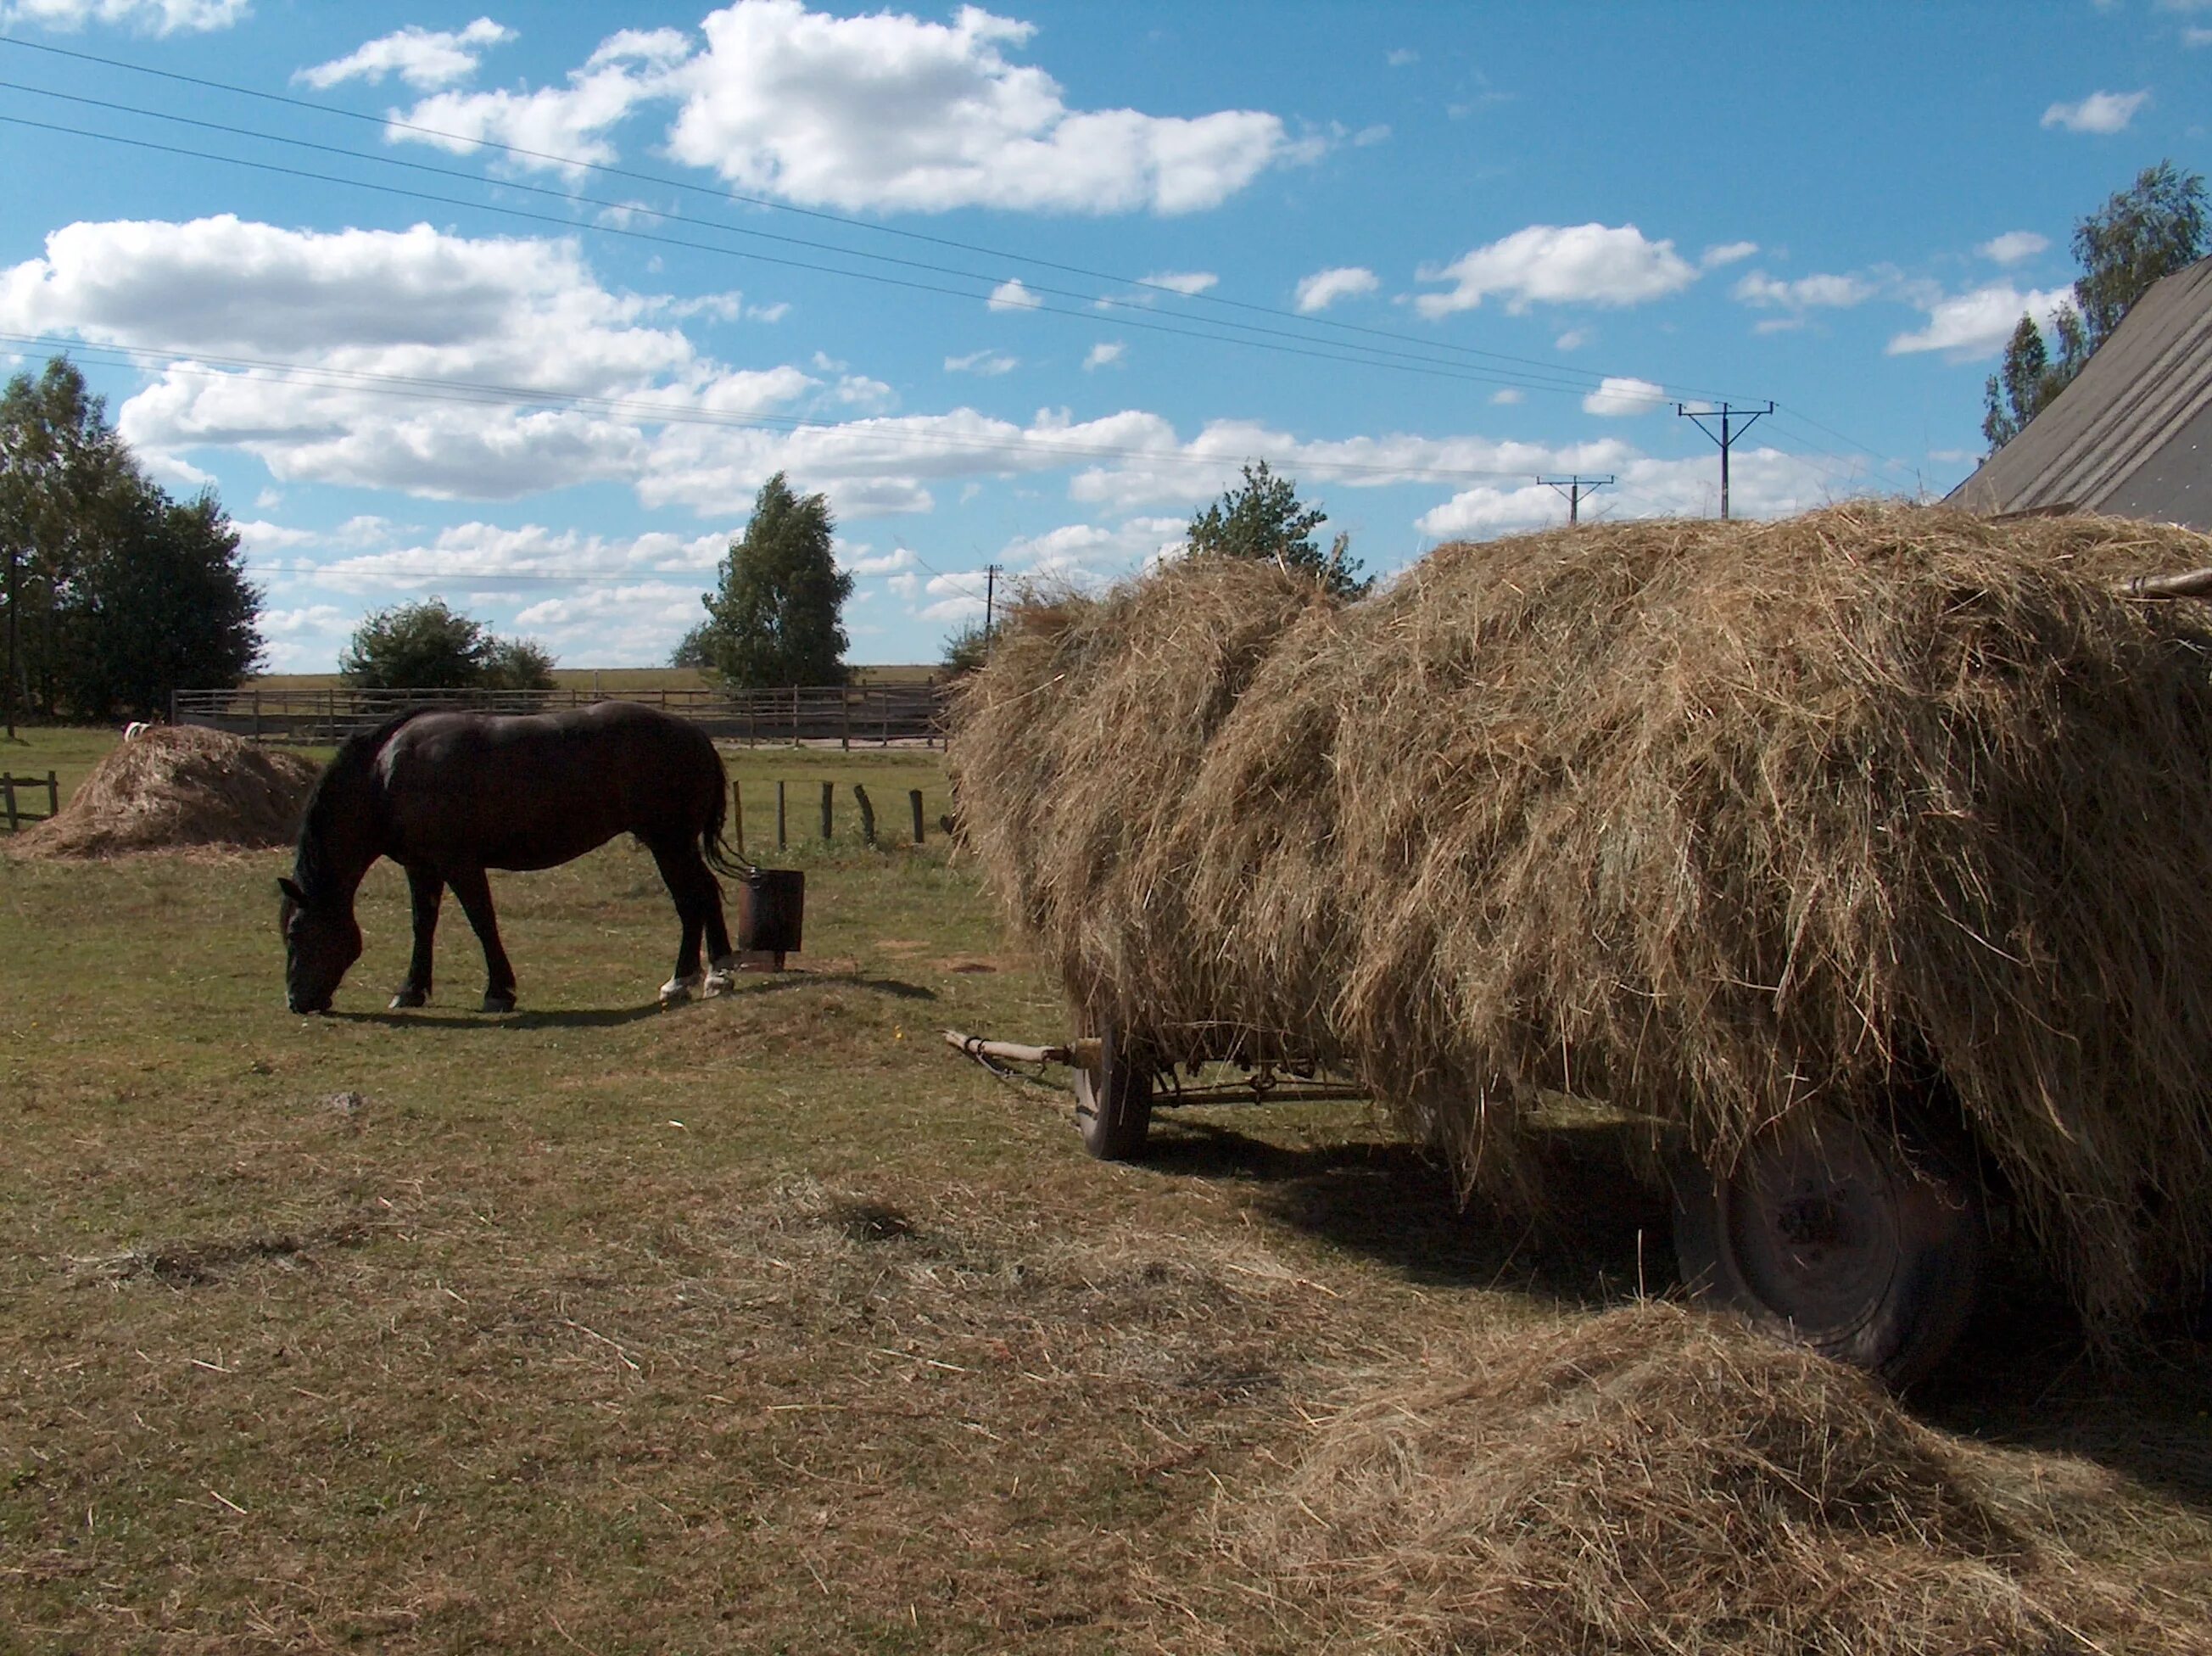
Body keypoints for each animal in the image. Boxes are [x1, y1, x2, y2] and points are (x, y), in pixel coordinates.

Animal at [273, 695, 743, 1009]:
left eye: (295, 933)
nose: (296, 1001)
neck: (385, 775)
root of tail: (694, 734)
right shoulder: (422, 867)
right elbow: (423, 925)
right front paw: (412, 990)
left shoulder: (459, 863)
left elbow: (482, 921)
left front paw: (499, 991)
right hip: (673, 844)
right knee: (703, 894)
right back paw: (711, 974)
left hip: (668, 842)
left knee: (693, 898)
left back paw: (693, 978)